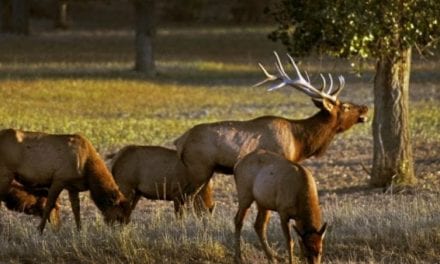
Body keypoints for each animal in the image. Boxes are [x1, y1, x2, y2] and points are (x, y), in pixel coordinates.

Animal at [0, 128, 131, 233]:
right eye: (120, 214)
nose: (123, 230)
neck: (89, 173)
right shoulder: (59, 180)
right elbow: (49, 205)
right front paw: (39, 230)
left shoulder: (73, 187)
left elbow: (76, 210)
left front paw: (79, 230)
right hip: (6, 174)